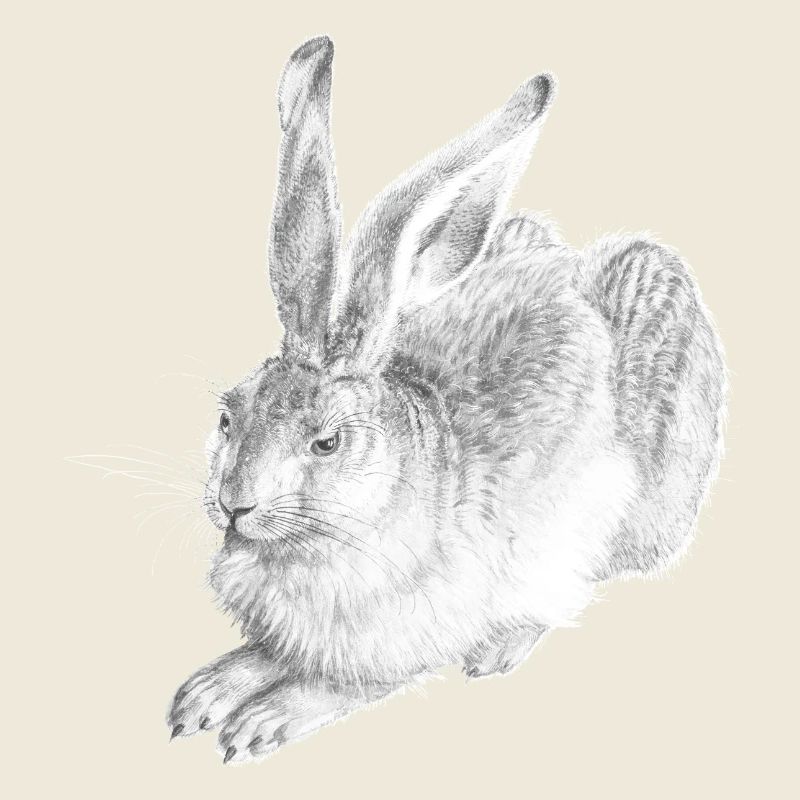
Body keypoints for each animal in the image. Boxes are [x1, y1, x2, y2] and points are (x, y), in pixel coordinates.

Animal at [167, 35, 726, 764]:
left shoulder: (408, 636)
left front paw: (263, 717)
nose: (235, 504)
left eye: (327, 442)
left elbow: (340, 682)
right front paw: (208, 691)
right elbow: (266, 653)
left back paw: (502, 646)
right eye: (228, 417)